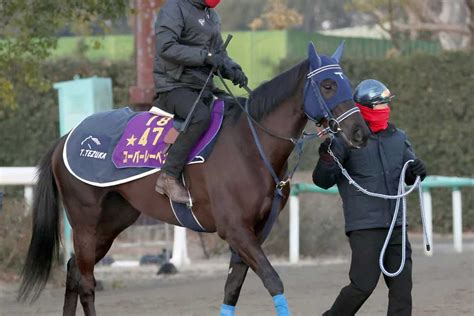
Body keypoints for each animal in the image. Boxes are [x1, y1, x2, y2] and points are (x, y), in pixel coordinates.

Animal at [18, 42, 370, 316]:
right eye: (327, 85)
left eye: (347, 82)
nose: (360, 133)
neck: (249, 143)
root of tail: (65, 138)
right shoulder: (235, 230)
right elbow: (273, 280)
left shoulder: (253, 232)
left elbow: (232, 288)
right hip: (85, 221)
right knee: (87, 282)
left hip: (113, 221)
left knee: (74, 270)